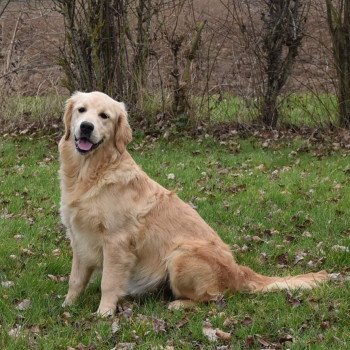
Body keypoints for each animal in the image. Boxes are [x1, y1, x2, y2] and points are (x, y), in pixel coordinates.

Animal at [58, 91, 330, 316]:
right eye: (81, 110)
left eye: (104, 116)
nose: (86, 127)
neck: (91, 174)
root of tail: (239, 271)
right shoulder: (79, 238)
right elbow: (75, 279)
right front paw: (67, 305)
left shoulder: (117, 242)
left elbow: (109, 282)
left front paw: (104, 313)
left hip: (180, 256)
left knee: (215, 298)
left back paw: (179, 304)